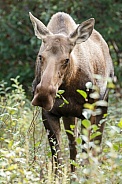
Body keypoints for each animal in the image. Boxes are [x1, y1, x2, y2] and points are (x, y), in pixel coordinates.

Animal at [29, 12, 114, 172]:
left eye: (66, 60)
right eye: (40, 56)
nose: (43, 95)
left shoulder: (89, 112)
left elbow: (87, 152)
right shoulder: (49, 114)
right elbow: (58, 158)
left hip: (103, 104)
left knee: (97, 144)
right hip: (69, 115)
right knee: (73, 143)